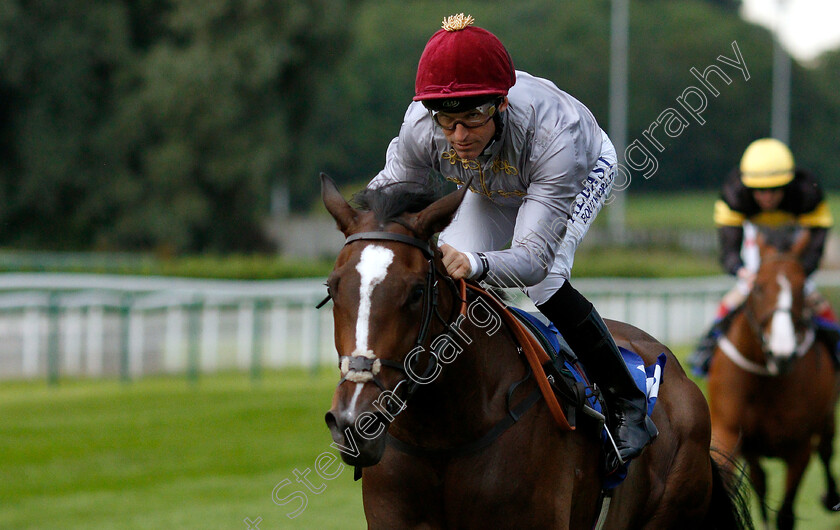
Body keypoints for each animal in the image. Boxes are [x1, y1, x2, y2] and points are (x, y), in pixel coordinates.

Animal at [708, 229, 840, 524]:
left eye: (801, 288)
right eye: (758, 286)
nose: (782, 353)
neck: (765, 378)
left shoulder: (800, 449)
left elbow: (785, 514)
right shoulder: (731, 435)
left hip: (826, 416)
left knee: (826, 450)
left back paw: (831, 497)